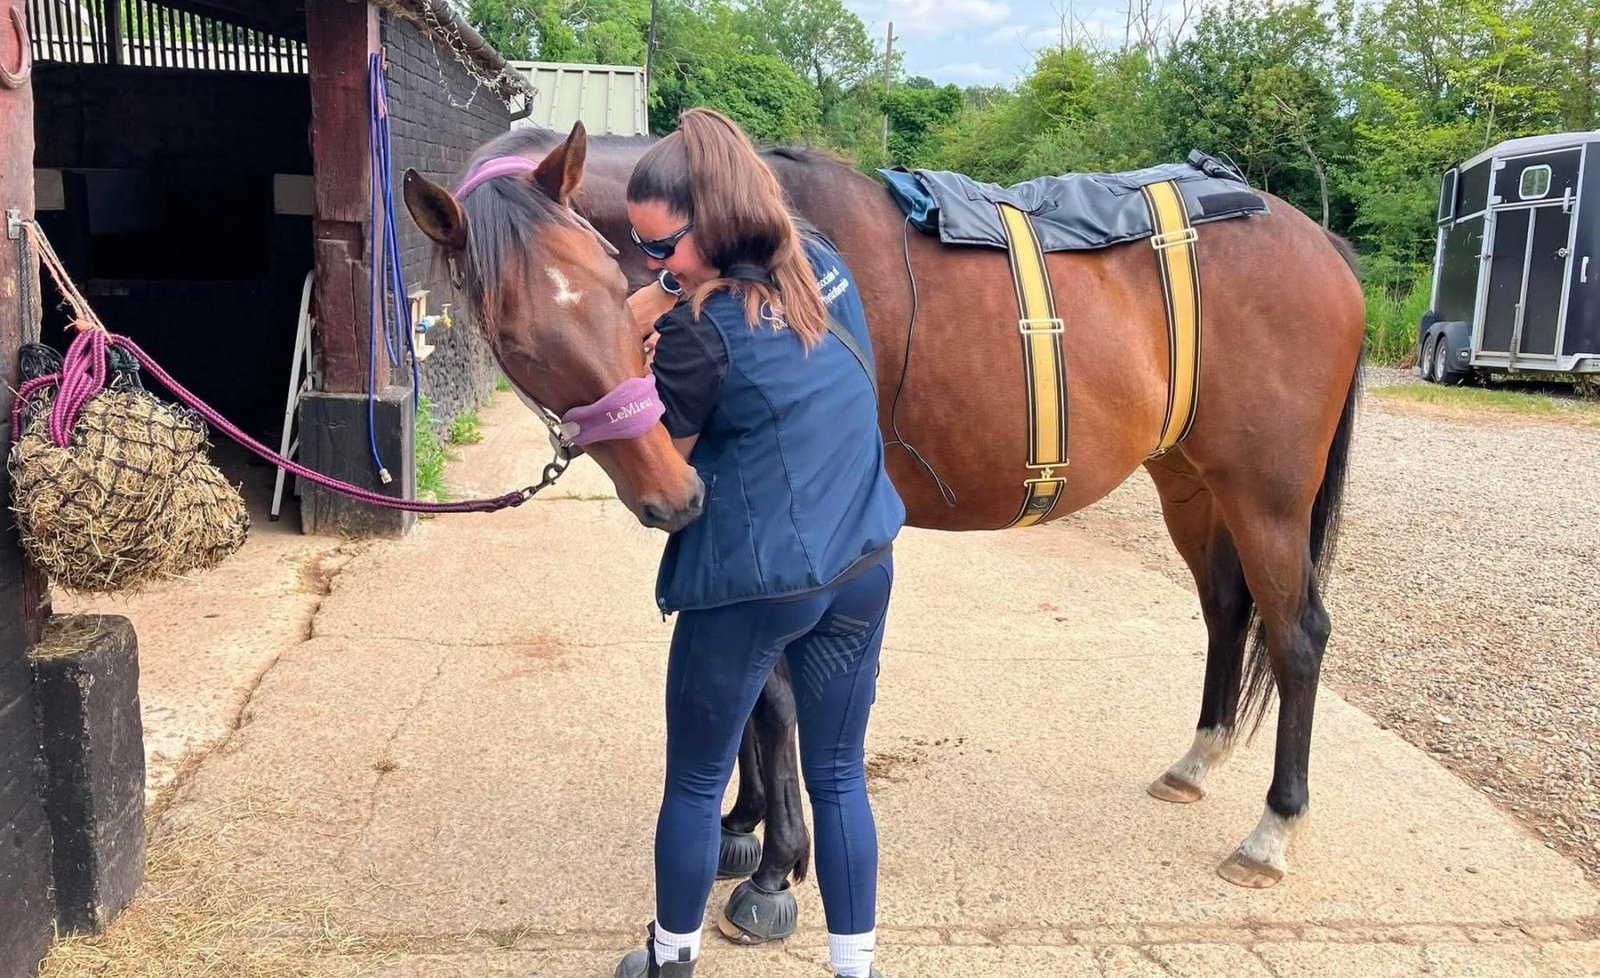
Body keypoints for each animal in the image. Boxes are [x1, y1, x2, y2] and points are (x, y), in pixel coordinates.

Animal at [401, 121, 1366, 936]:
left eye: (614, 288)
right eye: (517, 339)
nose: (669, 498)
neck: (762, 256)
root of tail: (1322, 245)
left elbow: (776, 698)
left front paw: (775, 867)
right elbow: (750, 694)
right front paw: (742, 824)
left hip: (1267, 495)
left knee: (1298, 635)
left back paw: (1271, 830)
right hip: (1191, 481)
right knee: (1227, 611)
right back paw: (1196, 762)